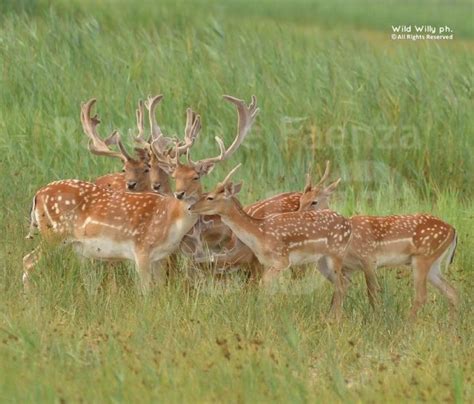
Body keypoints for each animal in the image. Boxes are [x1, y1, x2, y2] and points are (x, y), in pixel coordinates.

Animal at [22, 181, 198, 294]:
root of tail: (37, 195)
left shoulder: (160, 257)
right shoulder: (141, 249)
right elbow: (145, 289)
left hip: (73, 244)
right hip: (54, 233)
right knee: (28, 260)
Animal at [189, 165, 352, 318]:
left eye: (210, 197)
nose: (190, 207)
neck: (259, 234)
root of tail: (347, 223)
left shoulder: (282, 259)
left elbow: (264, 283)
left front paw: (265, 313)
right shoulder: (265, 262)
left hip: (336, 254)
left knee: (341, 284)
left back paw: (335, 319)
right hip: (321, 260)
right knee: (342, 283)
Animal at [298, 174, 458, 316]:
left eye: (314, 202)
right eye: (300, 200)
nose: (297, 214)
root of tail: (452, 230)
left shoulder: (368, 259)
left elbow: (372, 294)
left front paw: (377, 318)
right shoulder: (348, 268)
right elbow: (338, 295)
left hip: (423, 258)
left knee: (422, 296)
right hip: (433, 263)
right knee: (452, 291)